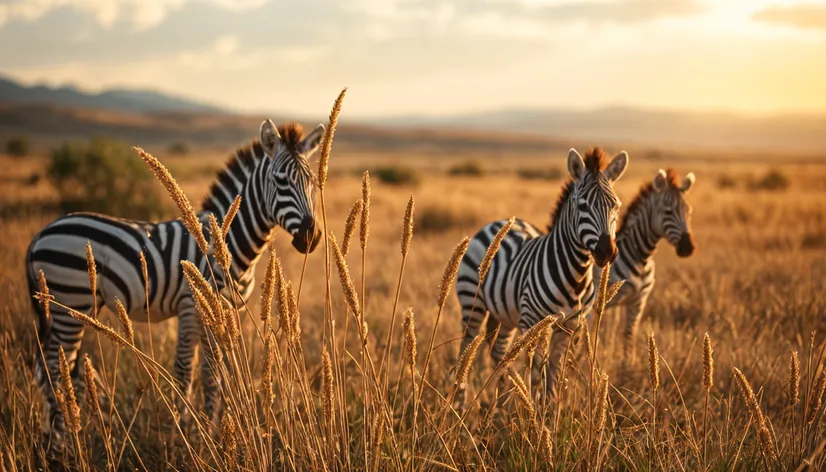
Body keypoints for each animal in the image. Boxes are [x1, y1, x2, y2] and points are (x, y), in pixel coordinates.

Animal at [26, 119, 322, 436]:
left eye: (313, 183)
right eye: (280, 181)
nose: (311, 237)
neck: (227, 244)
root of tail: (40, 234)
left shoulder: (229, 311)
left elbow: (219, 370)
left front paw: (217, 426)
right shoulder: (191, 307)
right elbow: (187, 369)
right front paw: (186, 428)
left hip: (64, 310)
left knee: (46, 368)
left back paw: (57, 432)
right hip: (70, 304)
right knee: (56, 369)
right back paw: (64, 434)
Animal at [454, 148, 628, 406]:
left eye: (615, 205)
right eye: (583, 206)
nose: (607, 252)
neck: (576, 278)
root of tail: (496, 223)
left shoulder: (569, 328)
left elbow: (553, 375)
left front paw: (549, 409)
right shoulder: (534, 323)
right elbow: (537, 374)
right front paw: (533, 410)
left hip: (505, 313)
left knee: (499, 351)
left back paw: (502, 400)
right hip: (472, 302)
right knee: (467, 347)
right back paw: (460, 401)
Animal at [584, 168, 696, 360]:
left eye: (688, 211)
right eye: (668, 212)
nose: (688, 248)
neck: (640, 258)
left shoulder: (638, 301)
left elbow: (628, 335)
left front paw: (627, 363)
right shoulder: (604, 302)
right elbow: (594, 334)